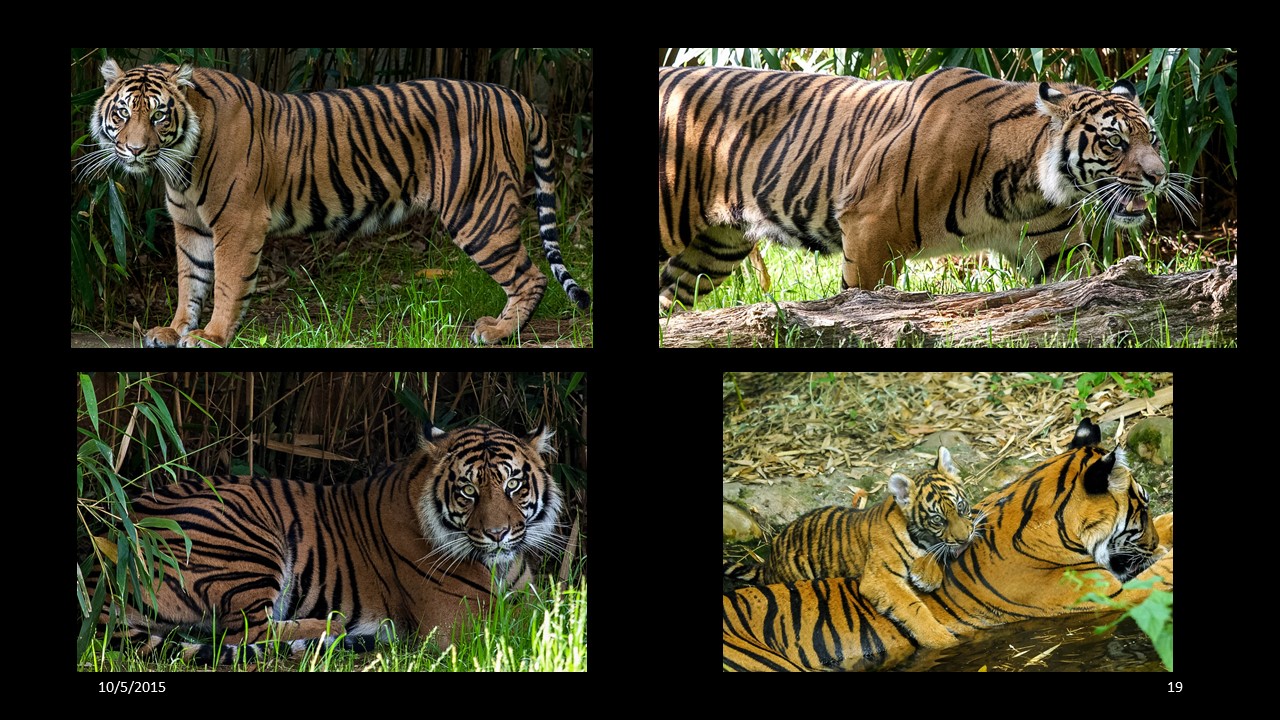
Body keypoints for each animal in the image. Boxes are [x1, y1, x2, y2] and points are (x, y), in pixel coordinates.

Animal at [80, 59, 590, 347]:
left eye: (158, 115)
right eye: (122, 113)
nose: (135, 151)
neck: (179, 164)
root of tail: (515, 95)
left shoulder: (238, 224)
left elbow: (224, 285)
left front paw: (212, 337)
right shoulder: (190, 228)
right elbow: (191, 283)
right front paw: (174, 331)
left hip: (478, 210)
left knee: (530, 277)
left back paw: (499, 332)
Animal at [85, 423, 562, 663]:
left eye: (514, 485)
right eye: (467, 490)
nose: (498, 534)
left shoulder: (524, 594)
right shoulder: (456, 622)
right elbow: (533, 627)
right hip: (246, 538)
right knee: (243, 633)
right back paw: (332, 630)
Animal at [657, 65, 1195, 312]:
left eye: (1152, 137)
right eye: (1114, 141)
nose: (1159, 176)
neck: (1024, 185)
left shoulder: (1054, 247)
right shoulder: (869, 228)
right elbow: (862, 299)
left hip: (710, 254)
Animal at [725, 446, 976, 648]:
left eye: (961, 507)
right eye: (938, 520)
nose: (965, 539)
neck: (919, 537)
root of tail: (769, 561)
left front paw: (927, 575)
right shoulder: (880, 578)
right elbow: (912, 608)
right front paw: (943, 641)